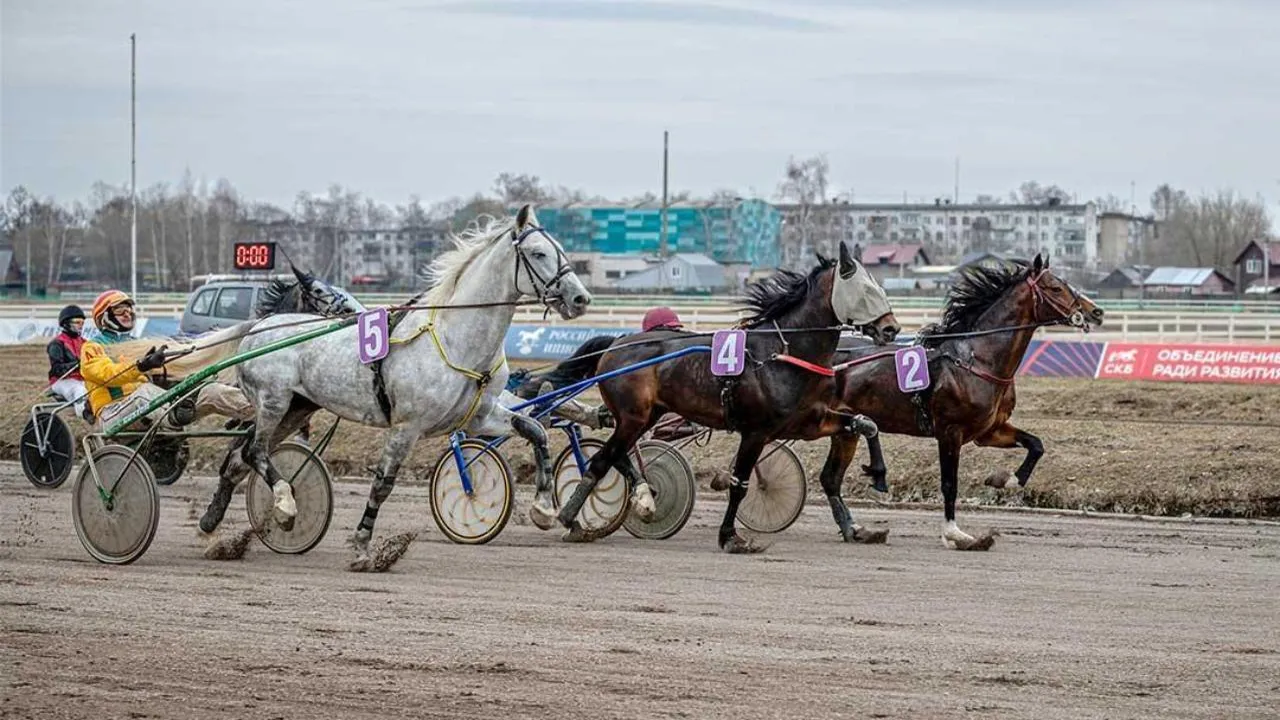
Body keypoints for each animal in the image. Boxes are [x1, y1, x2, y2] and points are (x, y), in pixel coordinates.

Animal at [198, 204, 593, 568]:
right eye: (538, 253)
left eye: (561, 250)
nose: (580, 299)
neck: (456, 339)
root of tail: (257, 327)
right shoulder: (407, 426)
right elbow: (383, 484)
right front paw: (362, 546)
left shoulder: (479, 415)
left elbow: (535, 429)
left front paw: (543, 508)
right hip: (273, 402)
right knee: (254, 451)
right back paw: (284, 504)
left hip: (297, 408)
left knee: (238, 458)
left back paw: (211, 528)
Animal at [535, 239, 906, 548]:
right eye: (865, 289)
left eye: (878, 286)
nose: (891, 328)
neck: (783, 353)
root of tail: (617, 342)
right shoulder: (755, 431)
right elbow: (739, 483)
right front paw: (730, 537)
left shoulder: (808, 422)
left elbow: (865, 423)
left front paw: (874, 482)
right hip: (633, 416)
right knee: (602, 460)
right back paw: (570, 518)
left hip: (645, 416)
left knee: (616, 455)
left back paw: (635, 500)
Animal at [819, 253, 1100, 548]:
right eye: (1056, 288)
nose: (1096, 312)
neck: (977, 360)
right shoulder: (950, 432)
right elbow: (949, 484)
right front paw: (955, 533)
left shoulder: (989, 431)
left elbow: (1036, 445)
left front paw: (1005, 480)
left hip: (846, 429)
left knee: (830, 478)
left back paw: (854, 530)